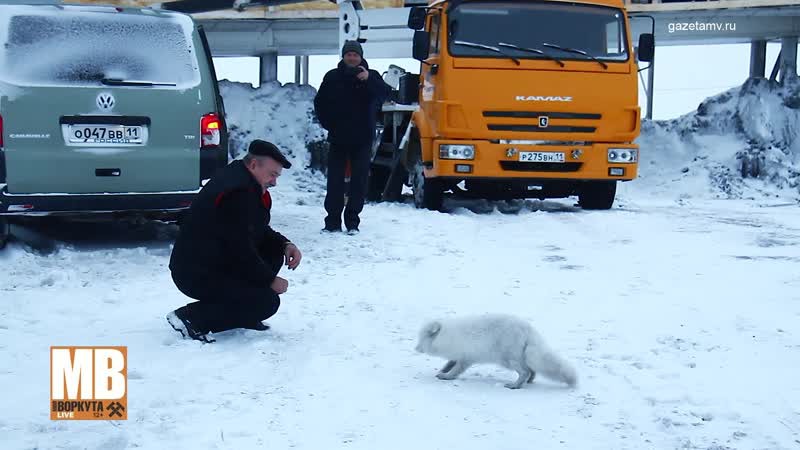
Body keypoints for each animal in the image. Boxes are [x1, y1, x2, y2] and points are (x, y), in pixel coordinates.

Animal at [416, 312, 580, 390]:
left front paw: (447, 376)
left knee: (525, 371)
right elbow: (449, 364)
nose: (415, 348)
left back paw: (515, 385)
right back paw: (528, 381)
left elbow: (456, 369)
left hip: (509, 359)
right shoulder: (458, 356)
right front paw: (442, 371)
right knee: (532, 370)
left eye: (421, 338)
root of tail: (529, 330)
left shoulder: (466, 358)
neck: (446, 336)